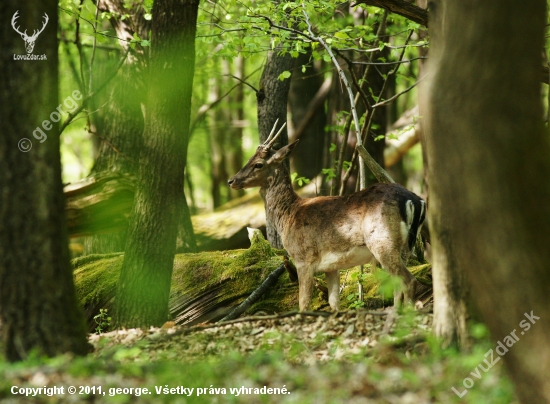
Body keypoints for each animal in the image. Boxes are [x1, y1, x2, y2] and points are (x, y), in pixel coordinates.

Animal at [229, 121, 426, 310]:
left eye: (258, 164)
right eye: (249, 158)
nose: (232, 180)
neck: (288, 216)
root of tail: (416, 201)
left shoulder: (303, 258)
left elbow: (304, 304)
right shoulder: (331, 267)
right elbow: (334, 304)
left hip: (383, 241)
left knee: (409, 281)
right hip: (404, 247)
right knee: (398, 285)